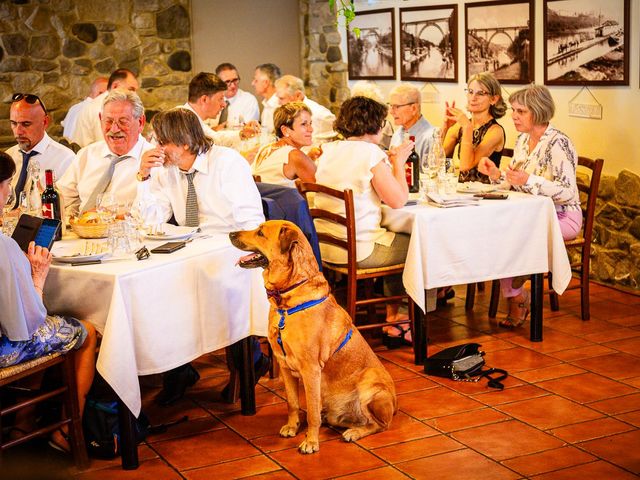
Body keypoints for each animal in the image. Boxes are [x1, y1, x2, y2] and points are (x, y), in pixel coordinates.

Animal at [228, 221, 392, 454]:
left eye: (260, 232)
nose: (230, 233)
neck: (286, 301)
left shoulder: (311, 369)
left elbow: (312, 412)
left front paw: (311, 441)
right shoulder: (284, 365)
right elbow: (293, 403)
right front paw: (292, 426)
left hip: (370, 384)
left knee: (379, 425)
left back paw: (354, 432)